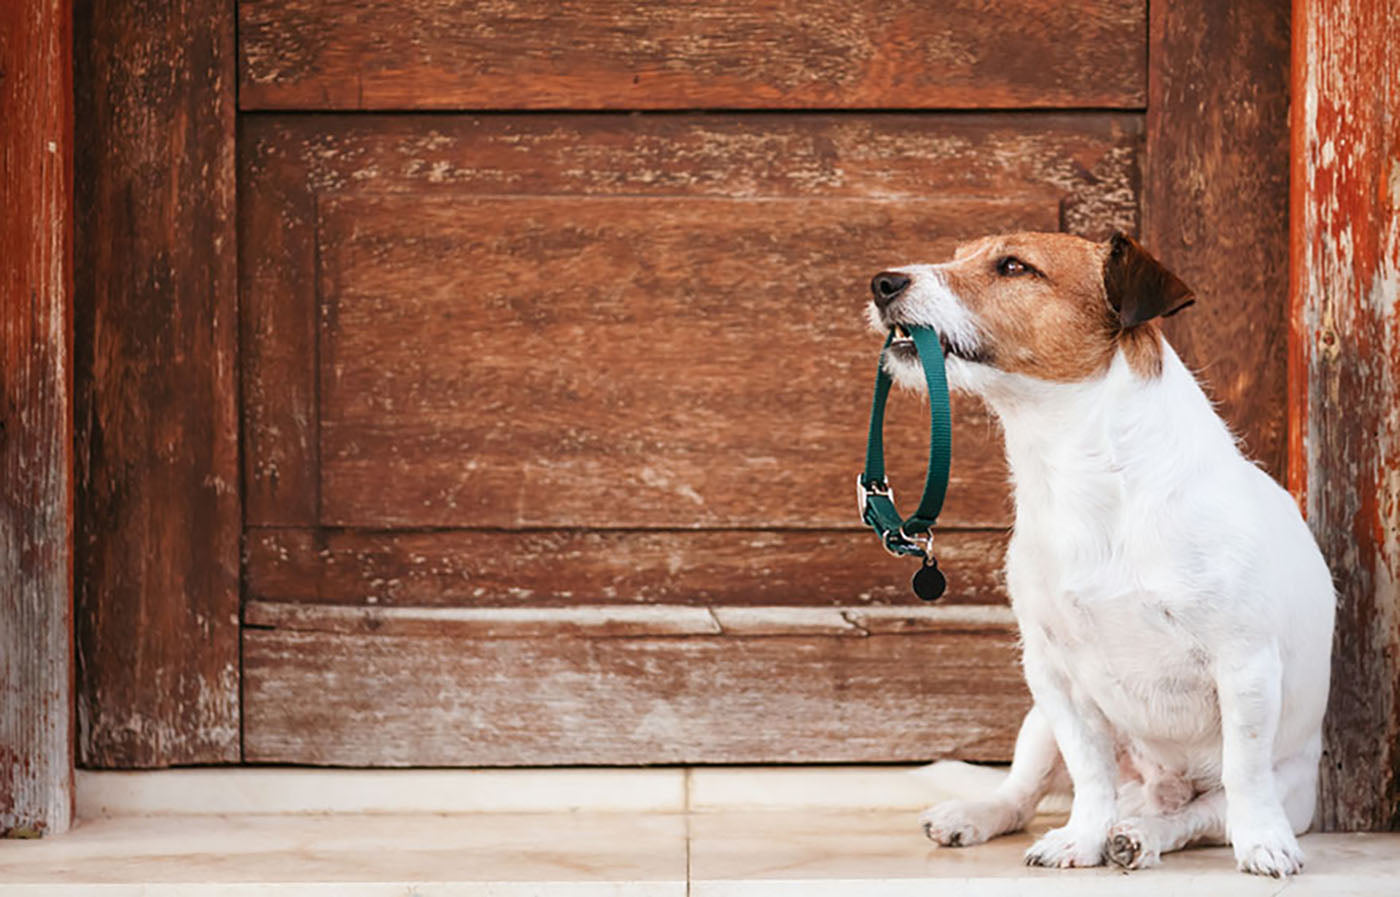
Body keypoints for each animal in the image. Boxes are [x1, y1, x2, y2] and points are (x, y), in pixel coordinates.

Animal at [868, 230, 1338, 873]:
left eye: (1013, 267)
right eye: (960, 254)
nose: (882, 282)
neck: (1085, 474)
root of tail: (1155, 786)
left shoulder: (1245, 665)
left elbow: (1243, 774)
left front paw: (1263, 844)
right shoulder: (1053, 676)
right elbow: (1089, 774)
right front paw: (1080, 839)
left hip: (1284, 789)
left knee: (1196, 815)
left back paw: (1140, 834)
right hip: (1037, 724)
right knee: (1024, 793)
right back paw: (981, 815)